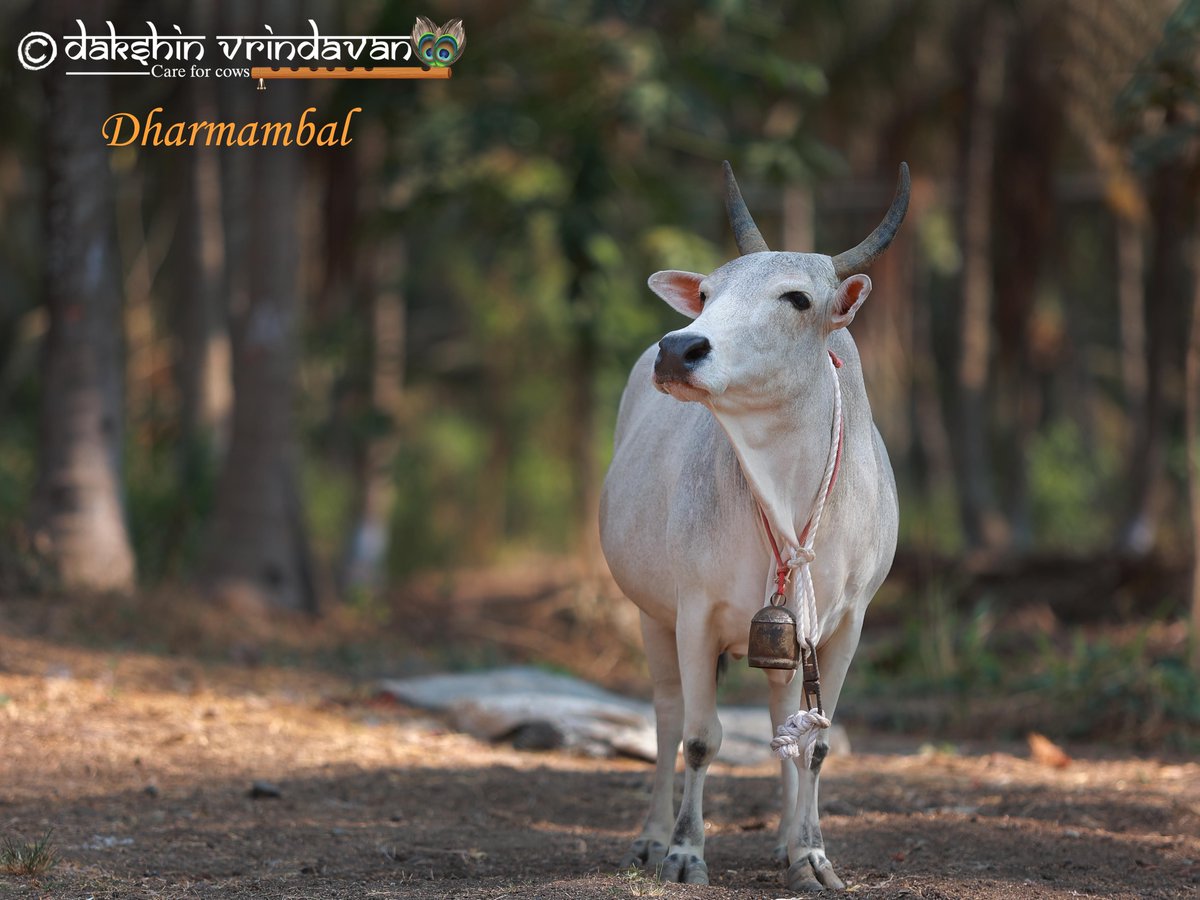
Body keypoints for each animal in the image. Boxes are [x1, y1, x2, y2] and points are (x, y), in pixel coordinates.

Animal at [599, 162, 908, 891]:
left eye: (796, 298)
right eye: (708, 292)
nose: (679, 347)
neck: (785, 494)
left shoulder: (845, 624)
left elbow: (814, 744)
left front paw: (811, 856)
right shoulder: (694, 613)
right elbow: (700, 737)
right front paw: (685, 852)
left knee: (781, 720)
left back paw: (788, 839)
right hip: (652, 616)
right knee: (666, 719)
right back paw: (650, 838)